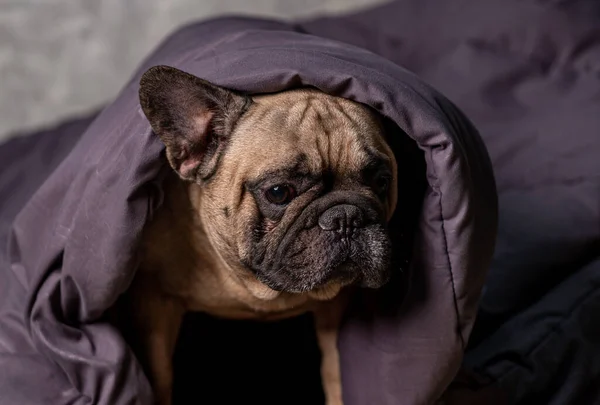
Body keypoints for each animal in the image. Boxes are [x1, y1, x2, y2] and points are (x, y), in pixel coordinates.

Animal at [126, 64, 398, 402]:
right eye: (279, 193)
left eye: (381, 181)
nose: (346, 217)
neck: (253, 287)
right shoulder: (154, 302)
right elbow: (160, 376)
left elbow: (334, 369)